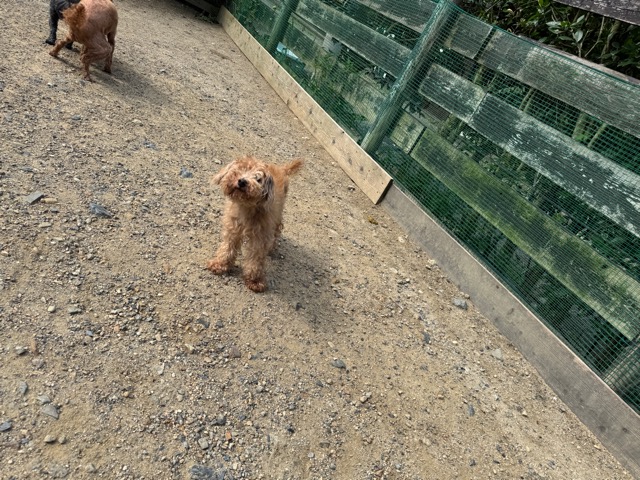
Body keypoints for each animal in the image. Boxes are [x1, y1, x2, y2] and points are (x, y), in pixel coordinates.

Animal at [207, 156, 303, 292]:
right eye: (241, 169)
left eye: (258, 179)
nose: (242, 181)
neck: (247, 207)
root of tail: (282, 169)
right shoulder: (233, 228)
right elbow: (227, 247)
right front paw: (220, 264)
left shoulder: (260, 237)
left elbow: (256, 259)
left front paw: (254, 281)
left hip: (277, 217)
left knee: (276, 232)